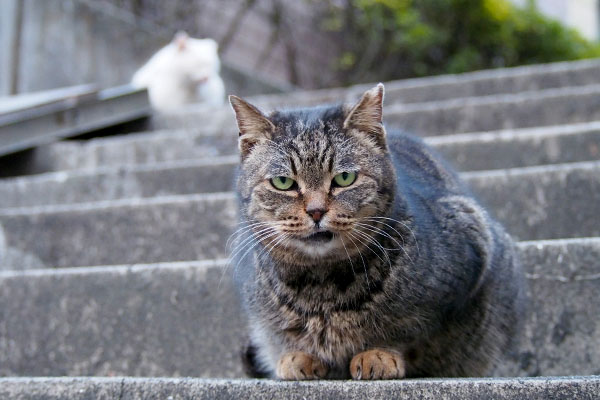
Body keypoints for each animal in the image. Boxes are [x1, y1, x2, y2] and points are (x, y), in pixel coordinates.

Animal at [230, 86, 524, 380]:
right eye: (283, 182)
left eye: (345, 178)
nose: (315, 211)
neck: (322, 285)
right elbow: (283, 336)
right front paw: (299, 356)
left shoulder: (471, 245)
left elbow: (409, 331)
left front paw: (378, 354)